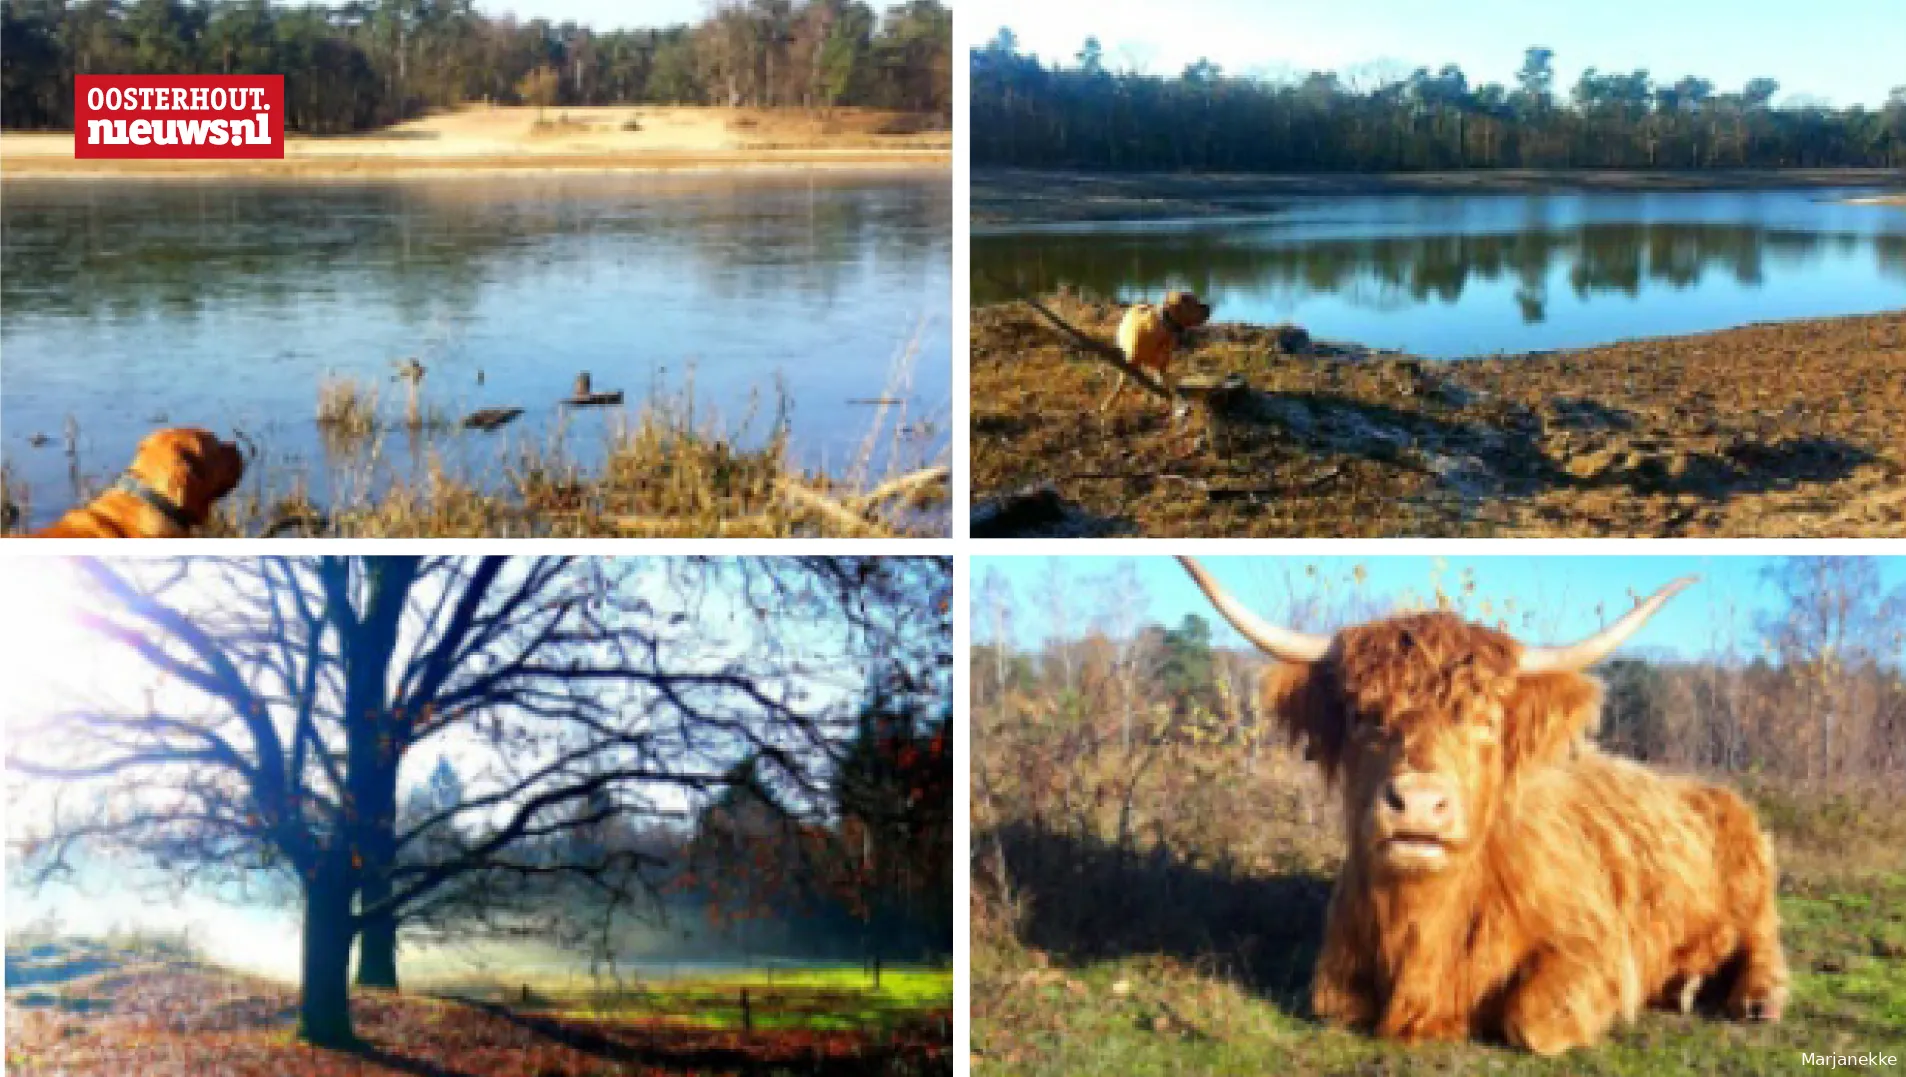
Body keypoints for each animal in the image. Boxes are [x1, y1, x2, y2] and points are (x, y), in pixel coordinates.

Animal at [1174, 560, 1784, 1052]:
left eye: (1486, 722)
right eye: (1363, 716)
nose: (1419, 803)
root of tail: (1706, 788)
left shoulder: (1596, 948)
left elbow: (1533, 1020)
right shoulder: (1336, 973)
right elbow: (1336, 1004)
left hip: (1752, 879)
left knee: (1761, 939)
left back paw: (1745, 998)